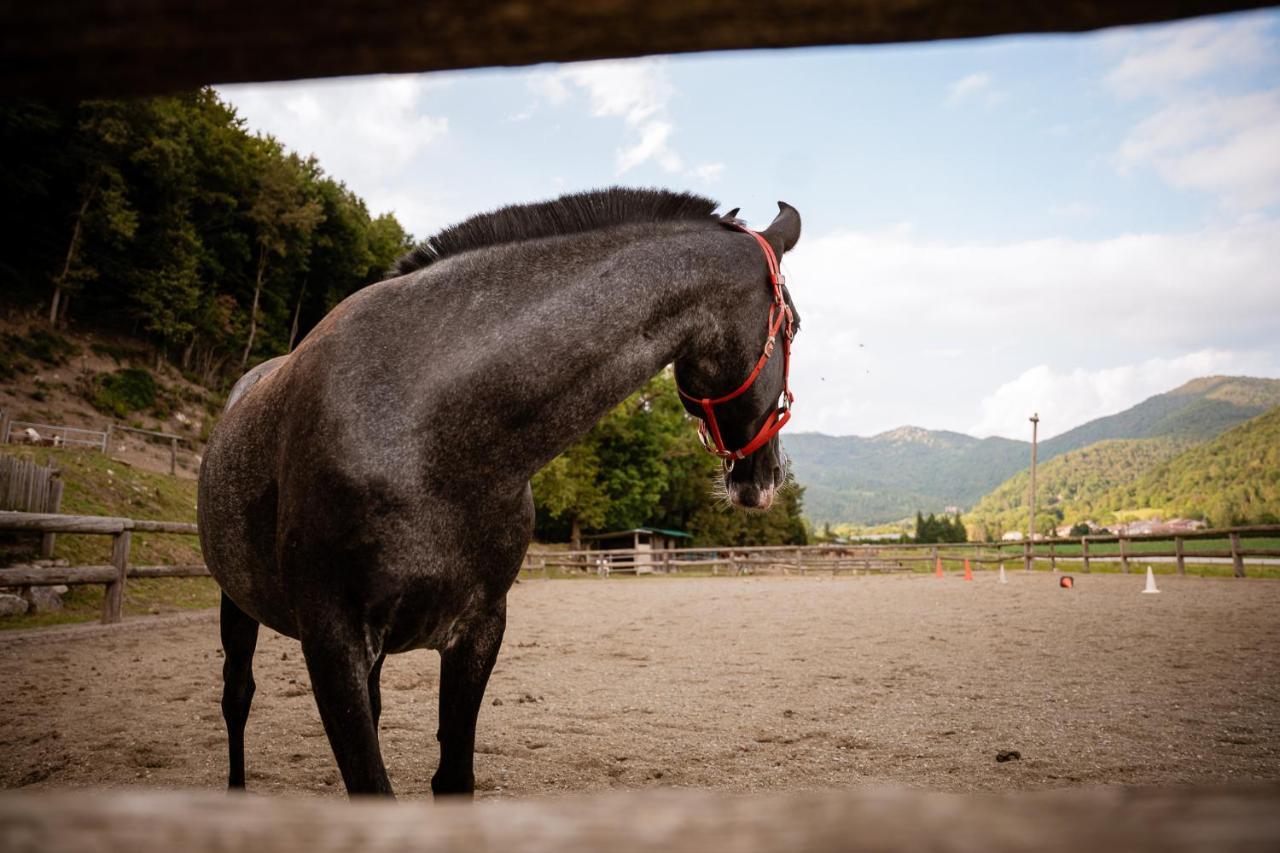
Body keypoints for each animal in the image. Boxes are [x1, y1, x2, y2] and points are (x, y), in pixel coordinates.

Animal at [198, 184, 798, 788]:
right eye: (793, 325)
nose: (768, 476)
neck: (423, 427)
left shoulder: (479, 630)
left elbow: (452, 778)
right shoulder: (331, 642)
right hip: (236, 603)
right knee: (237, 696)